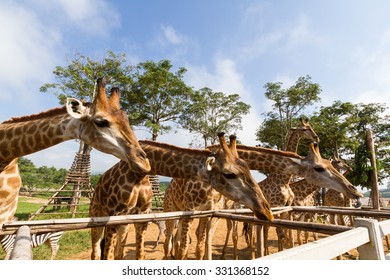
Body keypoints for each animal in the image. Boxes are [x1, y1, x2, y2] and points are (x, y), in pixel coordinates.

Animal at [89, 133, 272, 260]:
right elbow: (183, 248)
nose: (267, 211)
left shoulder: (206, 212)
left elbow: (198, 248)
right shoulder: (188, 209)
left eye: (248, 168)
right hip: (103, 215)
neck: (138, 174)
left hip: (128, 222)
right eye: (229, 174)